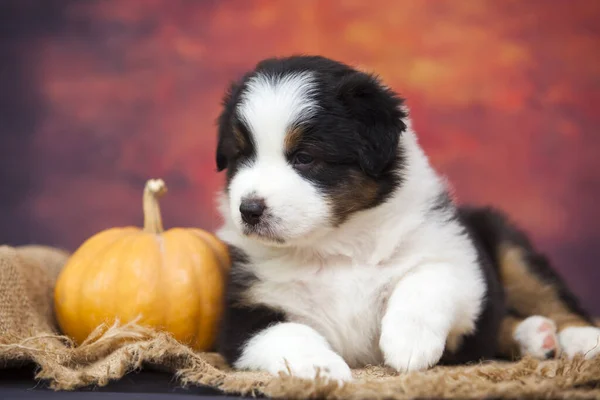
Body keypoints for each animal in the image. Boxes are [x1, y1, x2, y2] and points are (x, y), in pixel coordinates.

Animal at [213, 55, 596, 382]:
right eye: (240, 156)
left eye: (304, 157)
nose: (249, 210)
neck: (335, 245)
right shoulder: (245, 310)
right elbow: (286, 332)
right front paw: (321, 368)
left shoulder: (458, 262)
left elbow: (426, 280)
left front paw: (408, 343)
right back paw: (536, 336)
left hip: (506, 242)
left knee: (548, 296)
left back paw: (580, 338)